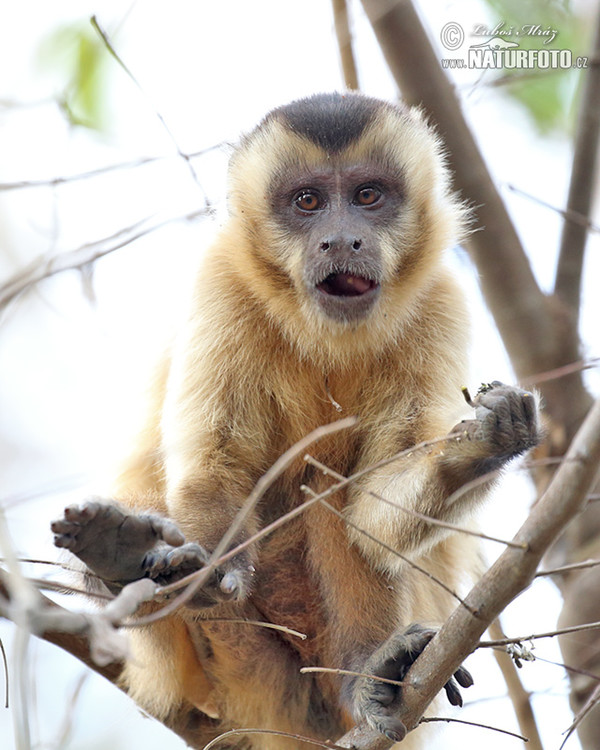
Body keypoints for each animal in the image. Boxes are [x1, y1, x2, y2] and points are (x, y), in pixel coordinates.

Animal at [50, 94, 540, 750]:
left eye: (367, 196)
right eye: (307, 202)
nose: (341, 241)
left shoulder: (441, 299)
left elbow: (371, 518)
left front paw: (483, 446)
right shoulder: (221, 281)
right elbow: (213, 466)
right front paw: (204, 572)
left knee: (334, 497)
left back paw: (369, 676)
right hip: (218, 666)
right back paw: (119, 555)